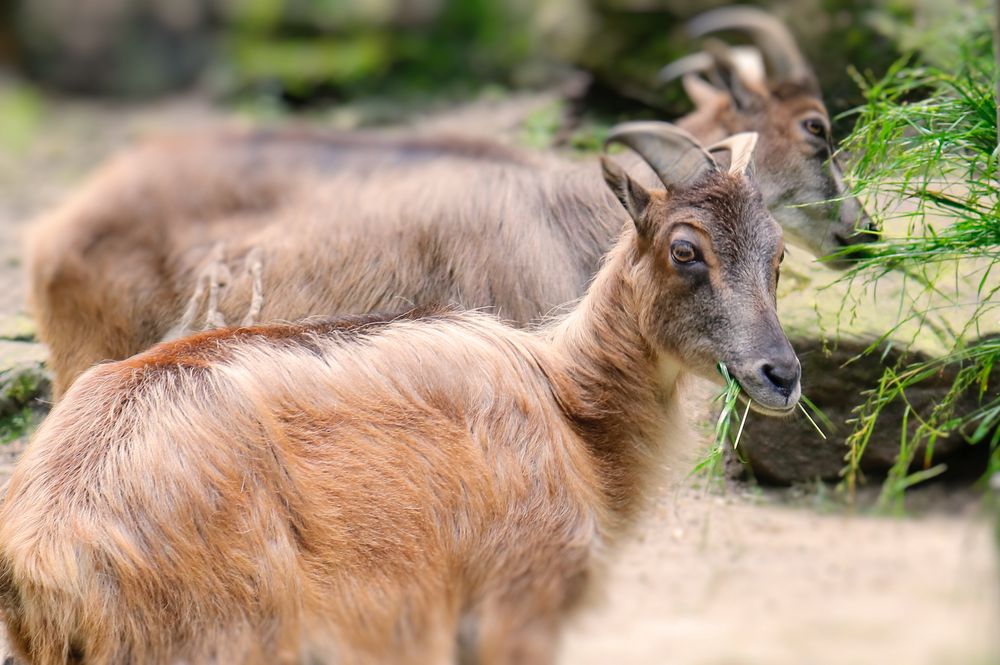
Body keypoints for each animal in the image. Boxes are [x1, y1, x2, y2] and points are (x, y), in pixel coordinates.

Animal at [0, 126, 796, 664]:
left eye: (778, 252)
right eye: (685, 248)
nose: (781, 374)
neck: (568, 407)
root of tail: (44, 557)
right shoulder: (516, 605)